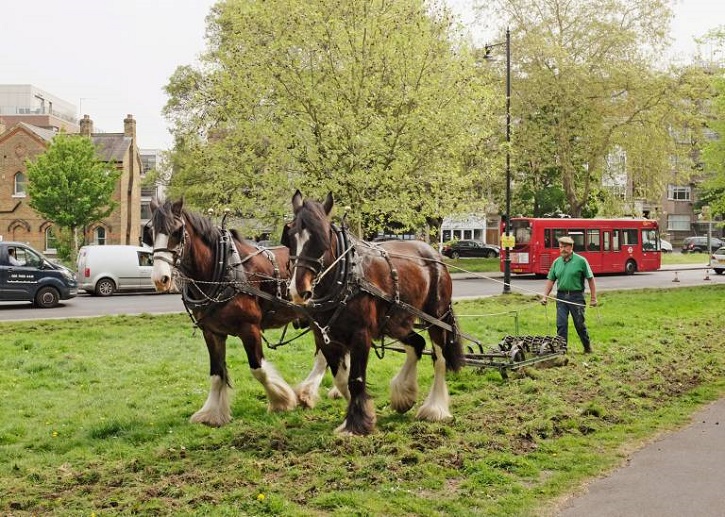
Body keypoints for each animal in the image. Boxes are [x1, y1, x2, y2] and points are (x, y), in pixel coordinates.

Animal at [148, 199, 340, 428]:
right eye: (150, 232)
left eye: (177, 231)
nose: (160, 279)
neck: (222, 268)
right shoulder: (211, 332)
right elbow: (216, 373)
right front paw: (212, 414)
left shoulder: (249, 328)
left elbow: (258, 369)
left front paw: (281, 401)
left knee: (326, 354)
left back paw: (308, 393)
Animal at [282, 191, 464, 434]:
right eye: (291, 237)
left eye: (322, 239)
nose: (298, 290)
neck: (346, 275)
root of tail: (434, 254)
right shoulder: (325, 337)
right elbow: (341, 380)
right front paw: (360, 413)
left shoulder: (361, 334)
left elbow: (356, 379)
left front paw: (356, 423)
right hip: (396, 322)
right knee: (417, 345)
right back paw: (403, 394)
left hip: (436, 317)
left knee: (440, 358)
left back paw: (435, 408)